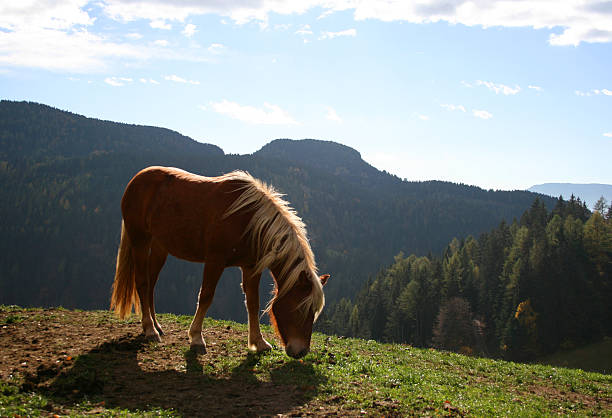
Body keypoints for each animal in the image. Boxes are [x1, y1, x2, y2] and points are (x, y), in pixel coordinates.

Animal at [110, 165, 330, 358]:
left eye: (314, 312)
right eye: (301, 309)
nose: (301, 352)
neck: (248, 220)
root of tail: (137, 179)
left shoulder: (251, 267)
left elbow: (253, 303)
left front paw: (258, 342)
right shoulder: (215, 261)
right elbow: (206, 296)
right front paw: (196, 338)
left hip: (159, 246)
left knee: (151, 284)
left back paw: (156, 326)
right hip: (140, 240)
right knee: (142, 282)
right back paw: (149, 329)